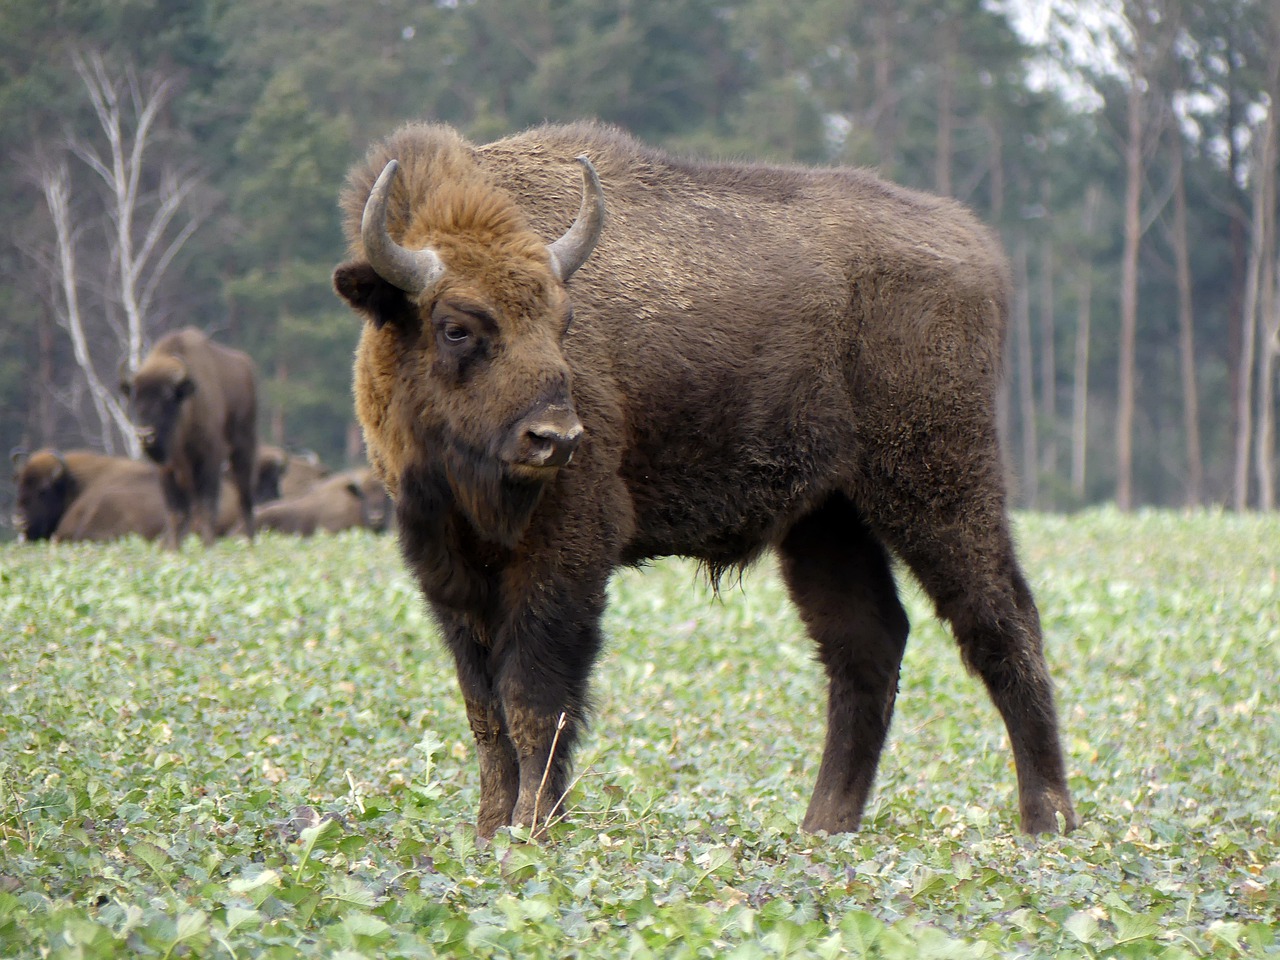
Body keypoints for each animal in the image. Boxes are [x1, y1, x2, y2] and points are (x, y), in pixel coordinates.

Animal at [123, 327, 258, 545]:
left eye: (167, 397)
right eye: (135, 397)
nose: (145, 435)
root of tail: (247, 367)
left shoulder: (210, 458)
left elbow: (207, 506)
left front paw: (208, 546)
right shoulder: (167, 469)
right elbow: (176, 513)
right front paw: (174, 549)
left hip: (244, 449)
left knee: (244, 497)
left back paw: (250, 543)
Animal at [332, 120, 1080, 839]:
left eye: (563, 321)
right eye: (456, 327)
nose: (556, 438)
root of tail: (973, 244)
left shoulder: (566, 556)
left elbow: (533, 704)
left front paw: (532, 831)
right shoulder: (450, 572)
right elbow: (484, 711)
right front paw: (490, 833)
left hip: (938, 485)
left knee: (1002, 621)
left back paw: (1048, 822)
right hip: (827, 520)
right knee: (868, 642)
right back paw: (823, 828)